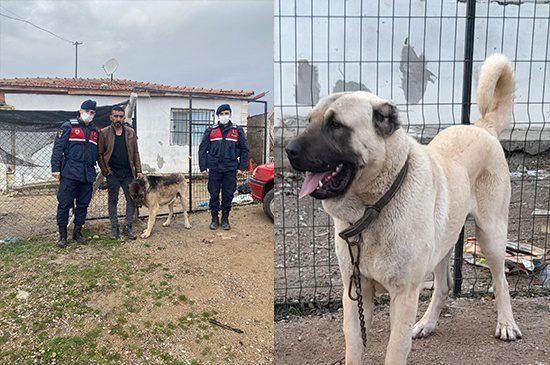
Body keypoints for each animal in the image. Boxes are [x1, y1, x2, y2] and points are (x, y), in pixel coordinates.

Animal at [286, 54, 524, 364]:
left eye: (336, 125)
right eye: (310, 121)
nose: (288, 150)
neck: (374, 207)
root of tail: (481, 127)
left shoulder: (404, 296)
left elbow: (395, 350)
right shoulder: (355, 292)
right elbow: (354, 346)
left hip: (491, 235)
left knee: (501, 281)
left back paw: (506, 324)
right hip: (444, 241)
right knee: (444, 285)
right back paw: (427, 323)